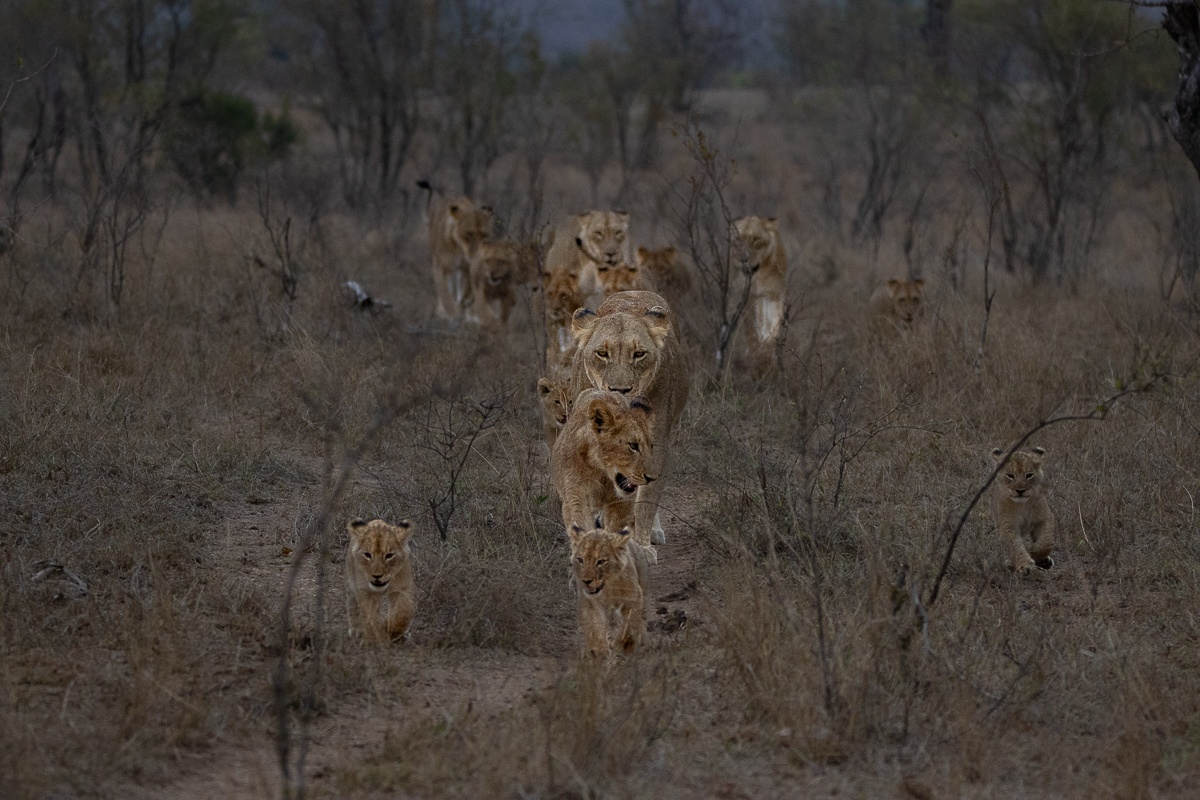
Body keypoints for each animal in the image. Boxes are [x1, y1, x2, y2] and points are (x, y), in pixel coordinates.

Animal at [552, 389, 656, 540]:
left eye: (651, 446)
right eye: (633, 446)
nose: (652, 478)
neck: (600, 470)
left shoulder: (621, 504)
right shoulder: (576, 499)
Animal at [568, 518, 650, 657]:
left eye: (601, 562)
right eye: (580, 560)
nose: (586, 581)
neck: (607, 589)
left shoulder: (633, 597)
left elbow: (628, 623)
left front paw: (624, 644)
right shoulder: (589, 602)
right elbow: (594, 625)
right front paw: (599, 651)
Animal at [569, 291, 689, 547]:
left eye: (639, 354)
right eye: (602, 354)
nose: (620, 390)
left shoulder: (655, 442)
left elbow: (645, 501)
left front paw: (641, 543)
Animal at [732, 216, 788, 344]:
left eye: (755, 239)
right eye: (738, 238)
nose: (744, 259)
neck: (759, 274)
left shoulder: (776, 293)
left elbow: (776, 320)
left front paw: (770, 341)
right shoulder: (748, 297)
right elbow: (751, 327)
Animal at [990, 446, 1056, 574]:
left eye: (1029, 475)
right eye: (1010, 475)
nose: (1020, 491)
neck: (1022, 505)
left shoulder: (1045, 518)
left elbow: (1046, 543)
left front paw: (1031, 551)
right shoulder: (1007, 526)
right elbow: (1015, 546)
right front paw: (1024, 565)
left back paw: (1044, 562)